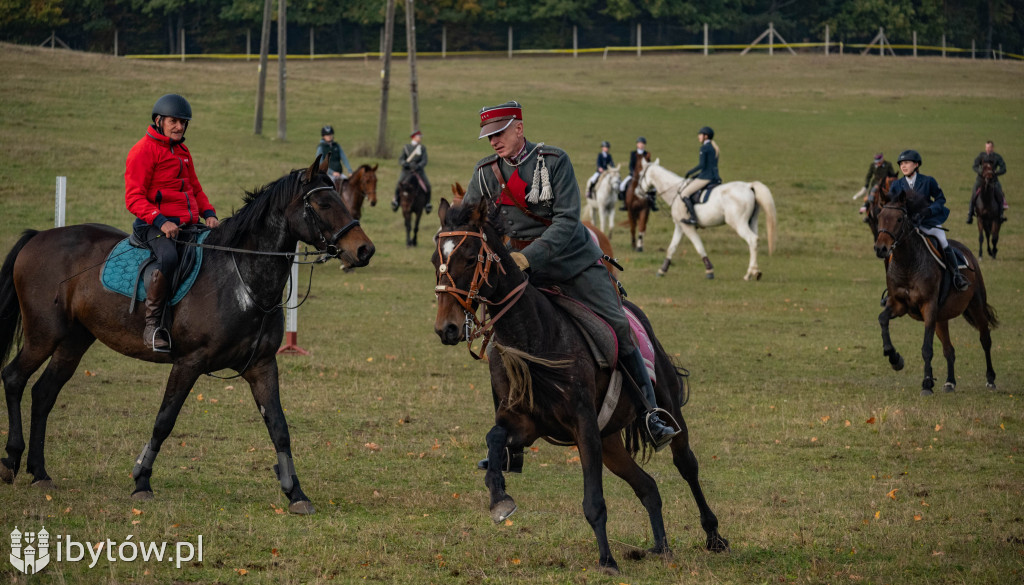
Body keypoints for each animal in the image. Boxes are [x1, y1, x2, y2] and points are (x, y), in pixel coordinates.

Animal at [0, 155, 376, 512]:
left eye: (341, 199)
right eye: (323, 203)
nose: (364, 250)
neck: (242, 277)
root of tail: (38, 237)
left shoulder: (262, 366)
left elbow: (279, 429)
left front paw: (296, 493)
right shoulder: (189, 363)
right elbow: (164, 421)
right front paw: (141, 481)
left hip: (73, 340)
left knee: (44, 394)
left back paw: (40, 472)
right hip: (44, 335)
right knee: (14, 378)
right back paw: (12, 461)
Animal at [432, 196, 729, 577]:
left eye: (470, 257)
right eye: (435, 259)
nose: (447, 328)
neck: (534, 336)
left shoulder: (584, 427)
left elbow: (594, 502)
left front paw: (607, 560)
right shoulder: (526, 425)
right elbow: (494, 438)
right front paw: (499, 498)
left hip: (665, 415)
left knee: (687, 465)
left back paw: (713, 536)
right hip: (611, 442)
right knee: (648, 487)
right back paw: (662, 547)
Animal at [630, 157, 774, 280]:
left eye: (640, 174)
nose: (637, 192)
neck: (675, 191)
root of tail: (748, 186)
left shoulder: (688, 226)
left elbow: (699, 246)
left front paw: (709, 271)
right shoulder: (680, 226)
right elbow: (672, 248)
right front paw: (662, 270)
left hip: (739, 223)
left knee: (752, 240)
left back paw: (749, 274)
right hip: (751, 222)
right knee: (754, 242)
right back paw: (755, 271)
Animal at [872, 189, 999, 395]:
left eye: (899, 219)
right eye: (880, 217)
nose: (881, 248)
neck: (907, 264)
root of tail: (967, 251)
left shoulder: (928, 307)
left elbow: (927, 348)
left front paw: (926, 384)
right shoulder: (899, 304)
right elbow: (883, 319)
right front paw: (895, 358)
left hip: (976, 305)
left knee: (985, 339)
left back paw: (990, 379)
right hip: (941, 319)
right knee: (949, 349)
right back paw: (950, 382)